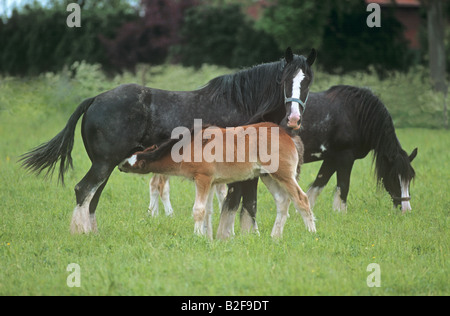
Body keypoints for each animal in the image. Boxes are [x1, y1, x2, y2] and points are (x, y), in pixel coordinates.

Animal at [20, 47, 316, 235]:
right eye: (285, 79)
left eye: (308, 82)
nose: (293, 119)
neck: (240, 102)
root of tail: (95, 99)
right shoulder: (244, 173)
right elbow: (244, 203)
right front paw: (243, 235)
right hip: (103, 164)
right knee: (83, 191)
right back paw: (80, 233)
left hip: (106, 165)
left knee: (92, 197)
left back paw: (92, 232)